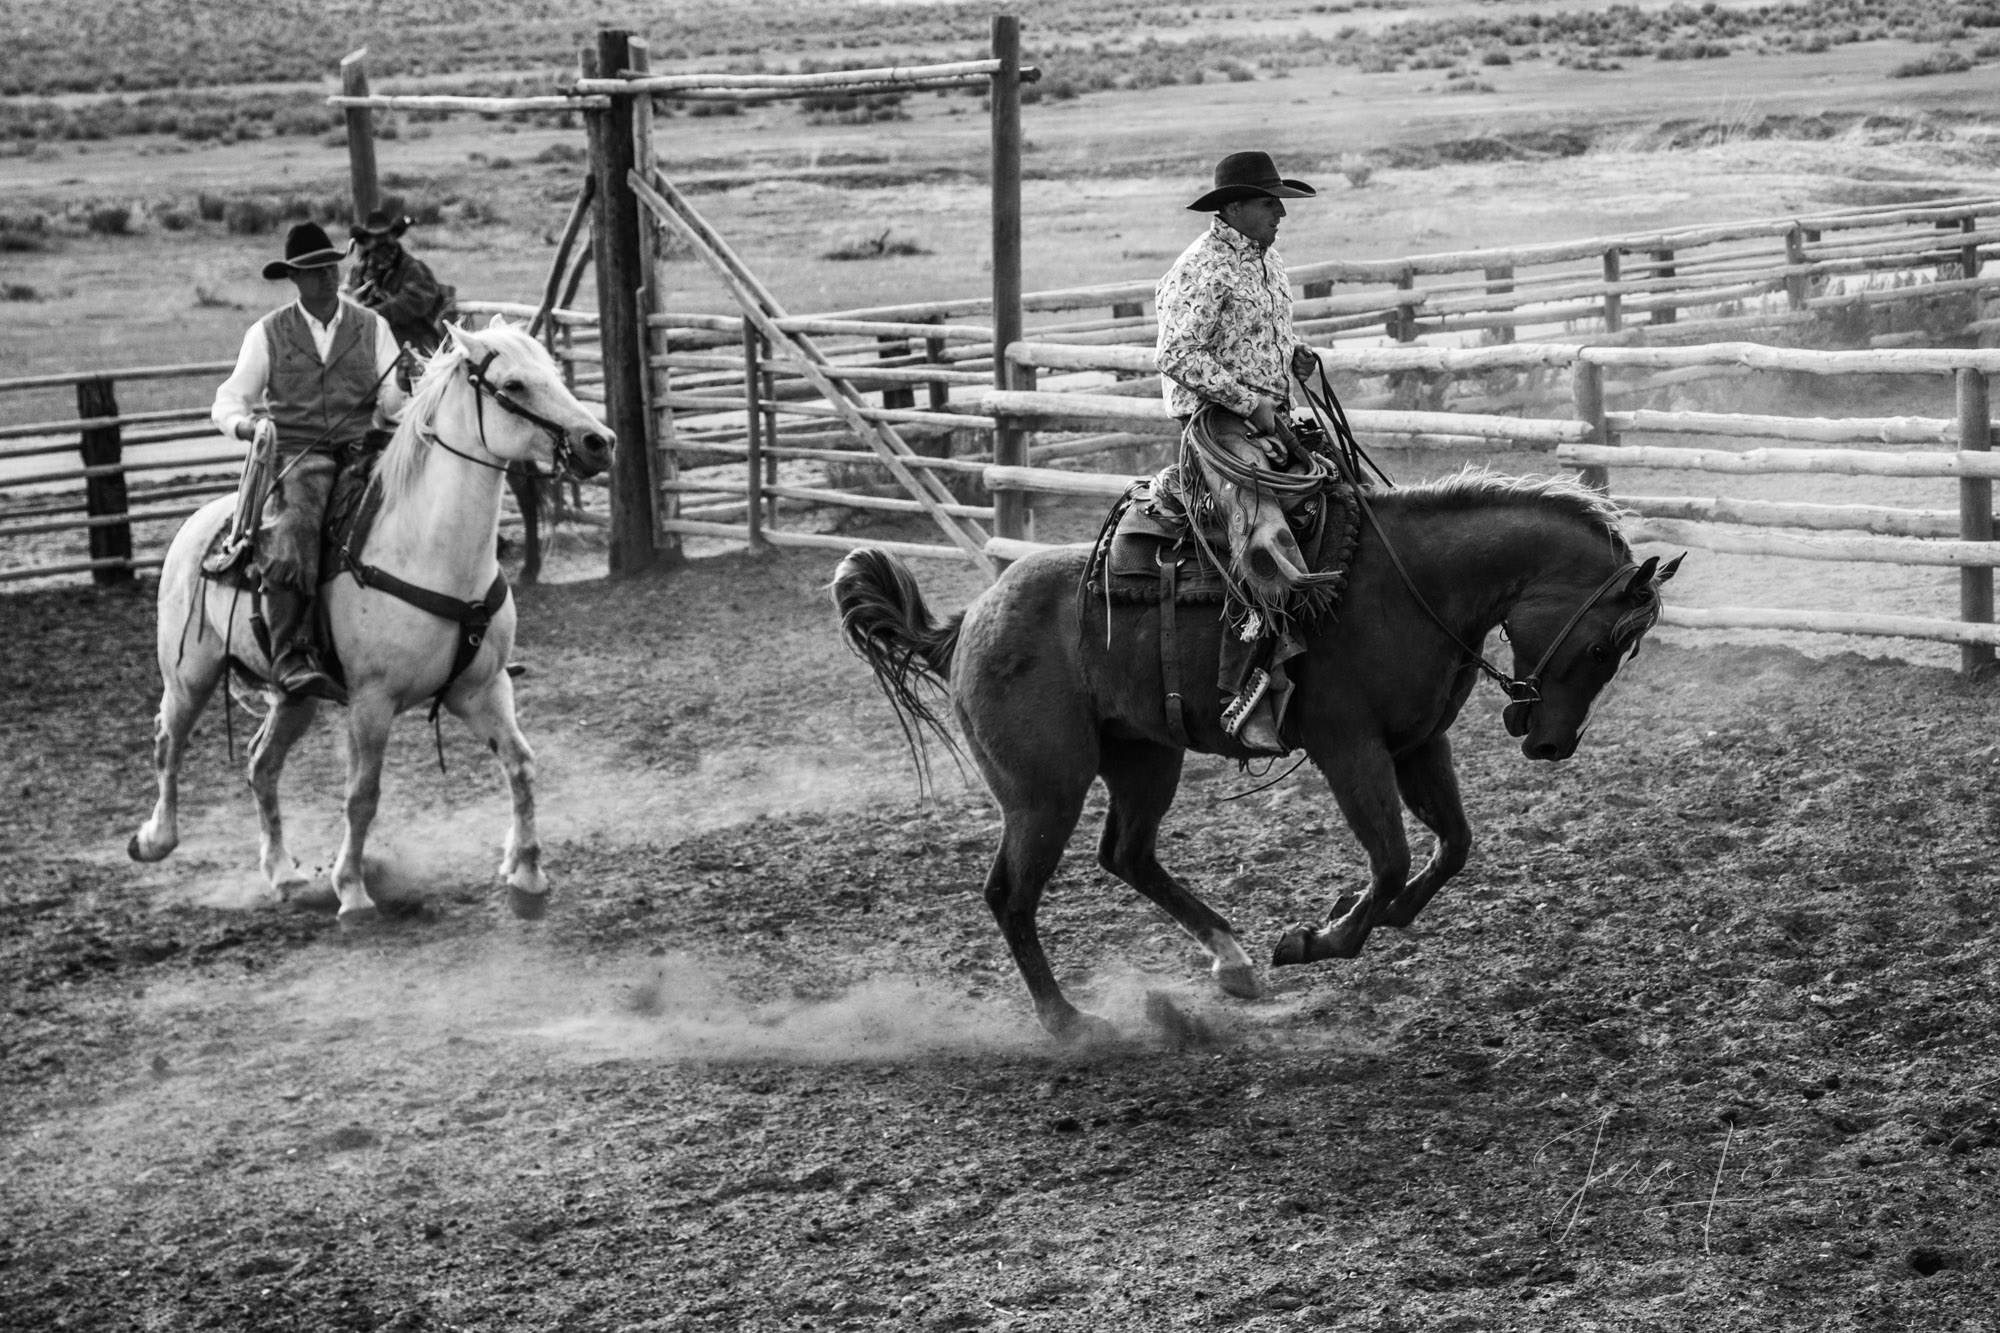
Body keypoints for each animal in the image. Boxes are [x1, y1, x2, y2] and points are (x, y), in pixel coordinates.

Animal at [129, 320, 612, 924]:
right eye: (514, 385)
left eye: (552, 372)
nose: (600, 442)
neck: (432, 552)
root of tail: (200, 524)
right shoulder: (371, 702)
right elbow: (362, 795)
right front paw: (353, 891)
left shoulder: (481, 688)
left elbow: (520, 765)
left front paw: (526, 873)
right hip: (188, 675)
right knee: (168, 742)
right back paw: (155, 840)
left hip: (295, 696)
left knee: (262, 764)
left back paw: (283, 872)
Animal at [836, 466, 1680, 1040]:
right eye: (1603, 644)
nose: (1552, 742)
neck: (1415, 585)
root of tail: (966, 623)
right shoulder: (1350, 748)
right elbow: (1393, 857)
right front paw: (1319, 937)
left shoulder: (1419, 743)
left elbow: (1453, 847)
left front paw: (1374, 916)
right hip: (1045, 791)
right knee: (1010, 893)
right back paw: (1069, 1019)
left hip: (1145, 758)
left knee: (1127, 854)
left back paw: (1229, 959)